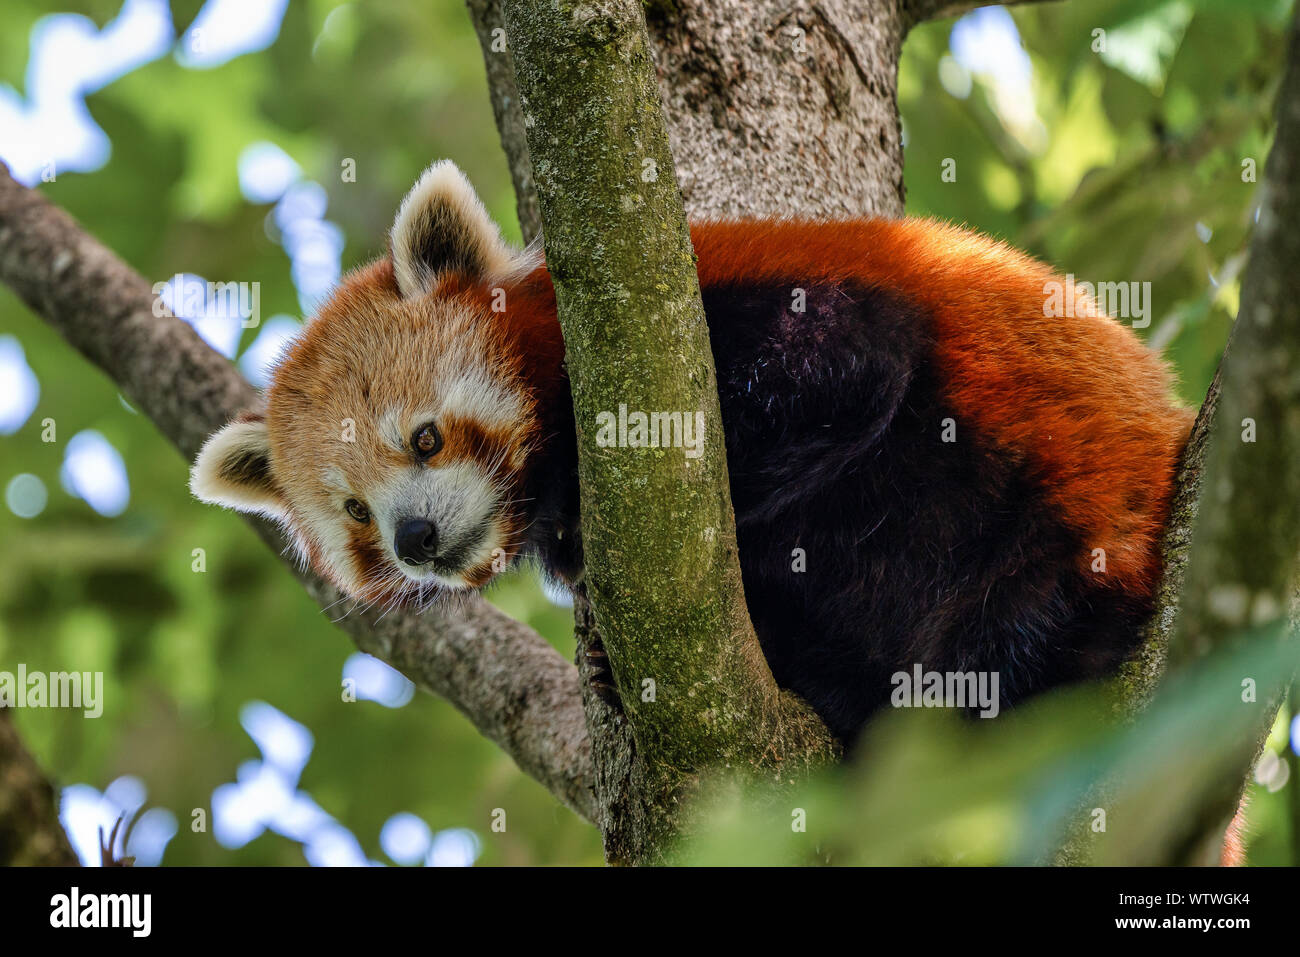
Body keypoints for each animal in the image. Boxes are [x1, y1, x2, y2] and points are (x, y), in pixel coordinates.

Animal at [188, 160, 1190, 748]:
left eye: (425, 437)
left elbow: (853, 363)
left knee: (1000, 649)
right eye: (354, 513)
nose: (416, 539)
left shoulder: (738, 304)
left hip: (1063, 519)